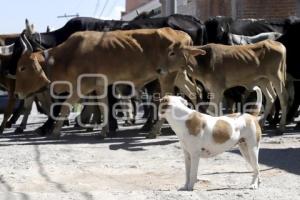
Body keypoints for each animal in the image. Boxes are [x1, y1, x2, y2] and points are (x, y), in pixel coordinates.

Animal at [15, 27, 205, 138]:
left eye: (23, 67)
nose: (17, 93)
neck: (69, 55)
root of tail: (183, 34)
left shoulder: (81, 86)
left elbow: (65, 106)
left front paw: (55, 131)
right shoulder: (99, 85)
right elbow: (103, 106)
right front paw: (104, 129)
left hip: (167, 76)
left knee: (168, 98)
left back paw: (154, 130)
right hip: (178, 74)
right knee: (194, 92)